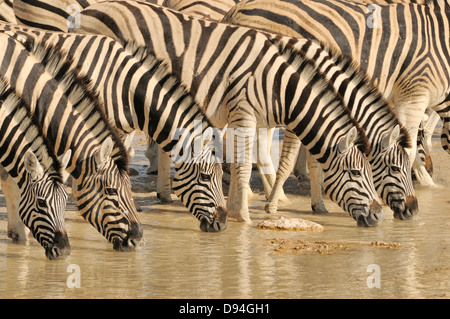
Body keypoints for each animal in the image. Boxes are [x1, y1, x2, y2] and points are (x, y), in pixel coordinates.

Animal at [67, 0, 386, 228]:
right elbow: (254, 163)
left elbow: (247, 157)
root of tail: (82, 14)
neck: (284, 83)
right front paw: (246, 213)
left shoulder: (256, 117)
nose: (380, 216)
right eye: (358, 173)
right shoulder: (249, 112)